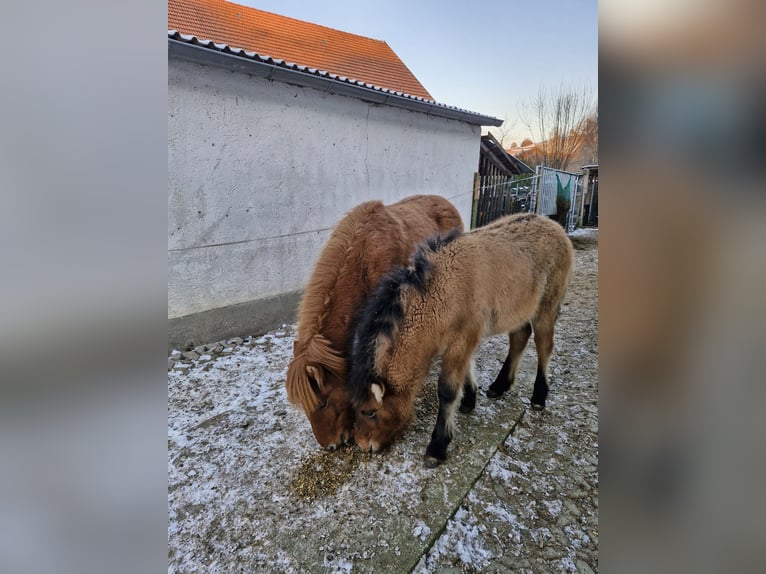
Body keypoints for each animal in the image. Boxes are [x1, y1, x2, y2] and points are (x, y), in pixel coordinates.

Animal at [349, 213, 573, 467]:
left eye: (369, 412)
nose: (363, 444)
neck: (442, 289)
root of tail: (554, 226)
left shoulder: (462, 339)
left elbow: (447, 391)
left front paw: (437, 446)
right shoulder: (462, 340)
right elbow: (466, 369)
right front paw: (469, 400)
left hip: (547, 307)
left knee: (544, 346)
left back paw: (539, 396)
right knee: (520, 337)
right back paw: (500, 385)